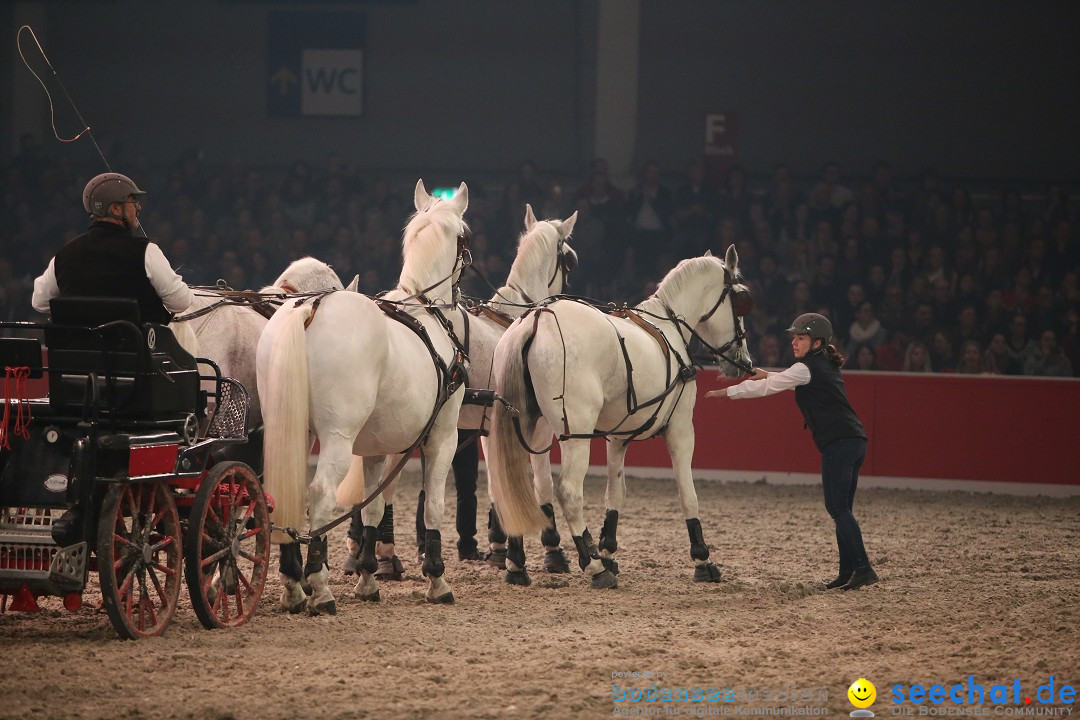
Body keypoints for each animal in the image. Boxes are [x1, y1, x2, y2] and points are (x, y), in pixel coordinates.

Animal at [260, 181, 468, 613]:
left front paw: (369, 578)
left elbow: (371, 507)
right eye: (465, 238)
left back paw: (293, 587)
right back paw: (319, 588)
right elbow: (435, 505)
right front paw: (437, 579)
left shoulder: (375, 448)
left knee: (284, 492)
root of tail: (309, 307)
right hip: (337, 437)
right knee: (321, 494)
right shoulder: (443, 435)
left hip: (290, 430)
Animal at [356, 201, 578, 578]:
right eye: (571, 261)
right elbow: (542, 483)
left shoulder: (491, 427)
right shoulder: (535, 427)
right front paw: (550, 551)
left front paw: (502, 548)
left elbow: (496, 485)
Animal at [490, 248, 751, 591]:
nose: (744, 362)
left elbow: (615, 494)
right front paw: (702, 559)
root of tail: (536, 319)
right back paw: (592, 566)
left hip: (527, 427)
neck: (670, 330)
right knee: (569, 492)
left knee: (514, 486)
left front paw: (608, 551)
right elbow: (688, 494)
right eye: (741, 300)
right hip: (576, 435)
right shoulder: (681, 429)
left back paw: (517, 565)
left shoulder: (617, 438)